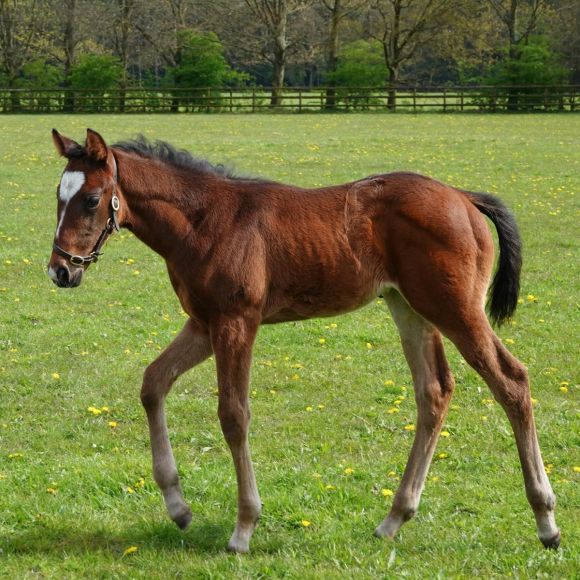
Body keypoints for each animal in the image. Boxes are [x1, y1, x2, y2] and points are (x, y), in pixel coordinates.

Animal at [47, 128, 560, 552]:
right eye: (58, 195)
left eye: (91, 199)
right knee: (434, 392)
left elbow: (233, 415)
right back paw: (393, 519)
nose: (60, 271)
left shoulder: (237, 321)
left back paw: (546, 521)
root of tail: (463, 197)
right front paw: (179, 507)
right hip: (409, 308)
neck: (206, 221)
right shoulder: (203, 324)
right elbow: (153, 383)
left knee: (512, 381)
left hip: (456, 311)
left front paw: (243, 528)